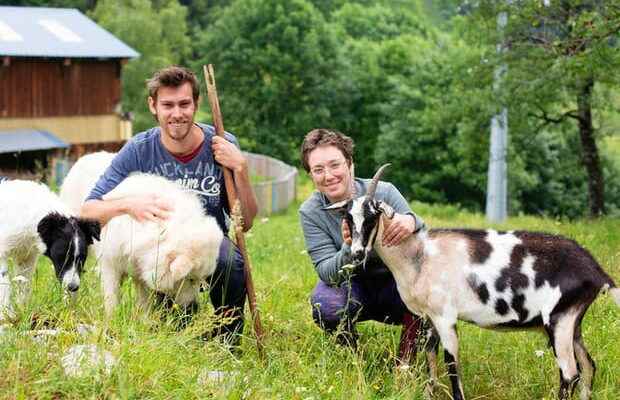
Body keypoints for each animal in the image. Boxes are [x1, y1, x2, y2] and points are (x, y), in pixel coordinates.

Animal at [0, 180, 99, 324]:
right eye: (63, 256)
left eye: (82, 258)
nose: (73, 287)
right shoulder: (3, 250)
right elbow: (5, 284)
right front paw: (7, 315)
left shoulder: (26, 258)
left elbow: (24, 286)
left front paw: (23, 313)